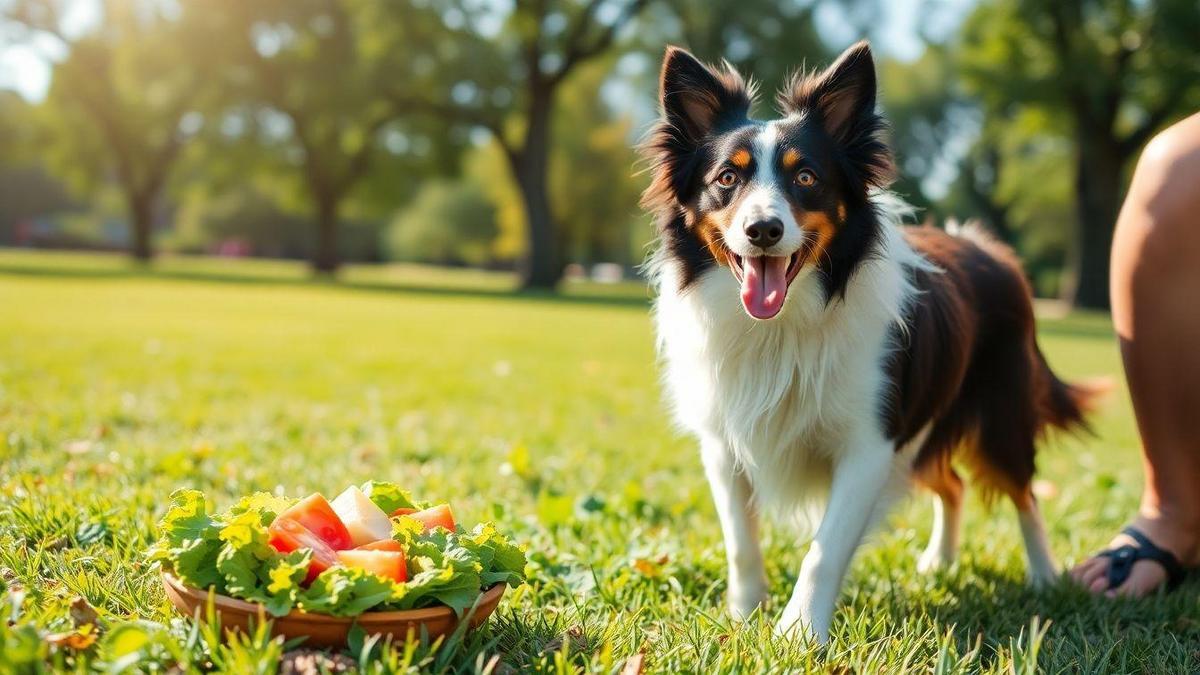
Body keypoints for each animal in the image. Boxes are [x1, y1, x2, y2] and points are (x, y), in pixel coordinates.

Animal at [643, 42, 1094, 638]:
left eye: (806, 177)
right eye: (726, 179)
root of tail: (989, 249)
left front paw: (797, 634)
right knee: (953, 484)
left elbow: (825, 548)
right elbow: (740, 540)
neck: (783, 326)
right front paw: (743, 616)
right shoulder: (722, 441)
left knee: (1024, 493)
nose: (763, 230)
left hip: (1000, 414)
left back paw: (1044, 578)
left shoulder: (871, 440)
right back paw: (939, 562)